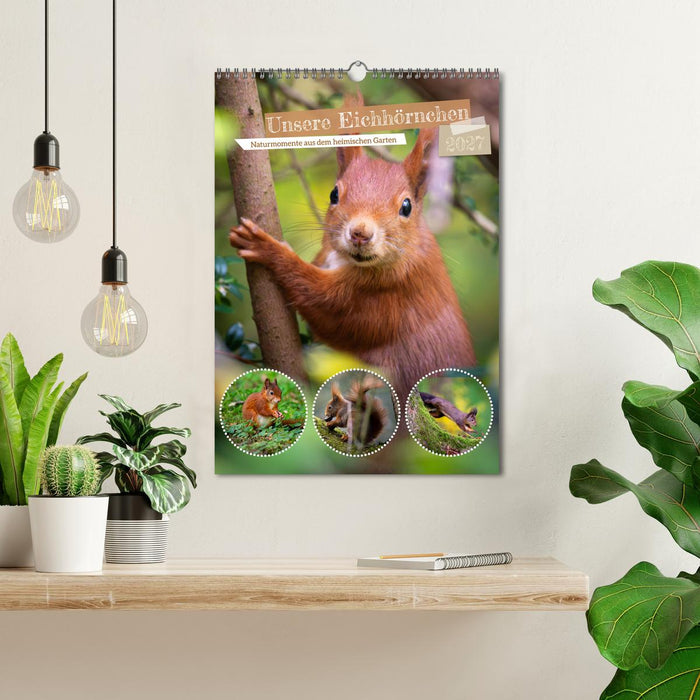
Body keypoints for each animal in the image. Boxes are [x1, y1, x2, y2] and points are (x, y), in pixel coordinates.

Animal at [229, 95, 475, 400]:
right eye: (334, 193)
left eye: (406, 206)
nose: (360, 233)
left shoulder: (386, 295)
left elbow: (326, 307)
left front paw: (265, 246)